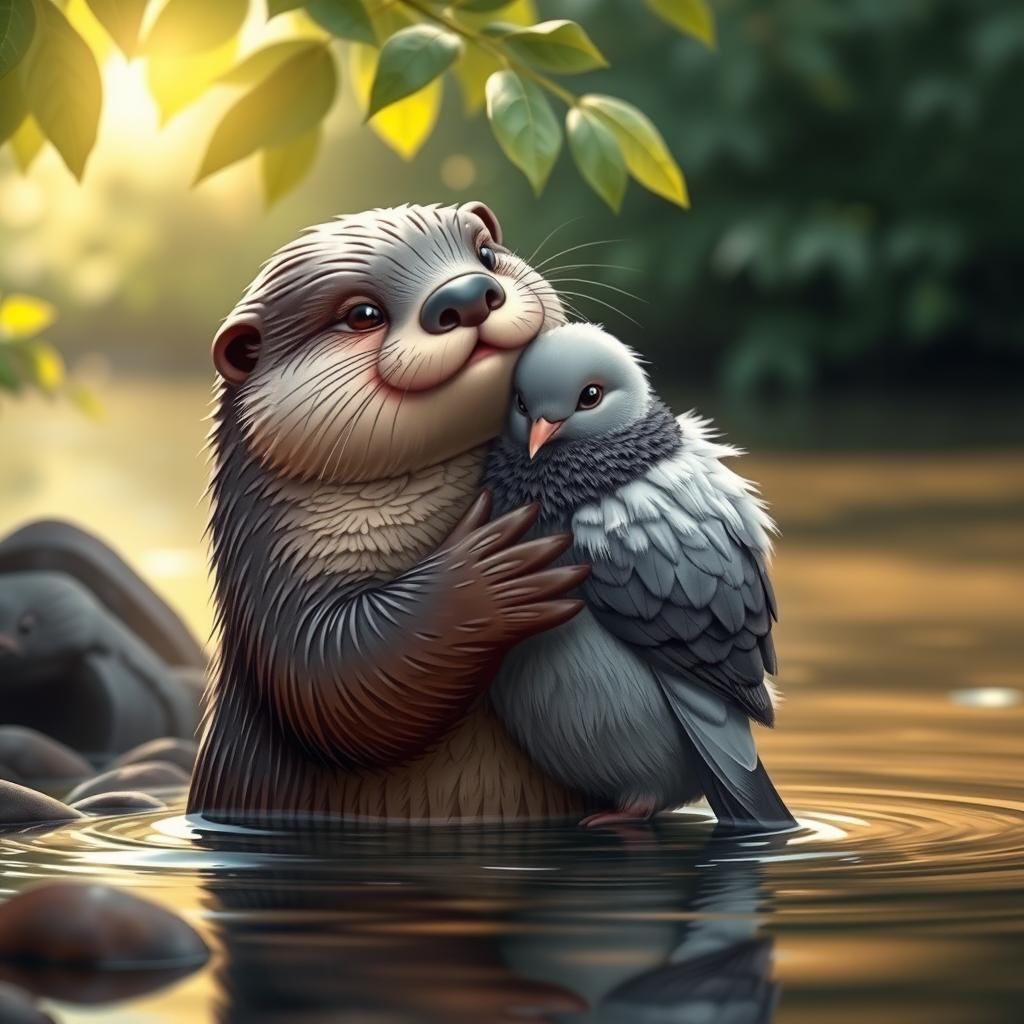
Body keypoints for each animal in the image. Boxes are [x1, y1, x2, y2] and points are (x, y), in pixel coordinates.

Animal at [188, 202, 589, 826]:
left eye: (485, 253)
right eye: (363, 314)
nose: (468, 294)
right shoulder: (273, 577)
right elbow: (328, 677)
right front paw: (490, 573)